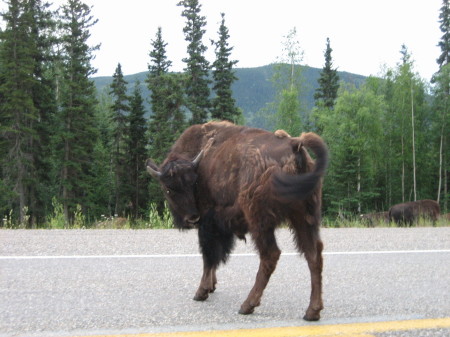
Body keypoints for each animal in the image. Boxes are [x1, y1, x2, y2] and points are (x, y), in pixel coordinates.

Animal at [146, 121, 328, 320]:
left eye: (192, 183)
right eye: (169, 188)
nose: (192, 217)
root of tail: (295, 146)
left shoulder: (208, 224)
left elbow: (208, 256)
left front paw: (201, 292)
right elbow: (215, 257)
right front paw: (212, 286)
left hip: (260, 221)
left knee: (270, 255)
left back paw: (247, 305)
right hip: (305, 217)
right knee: (313, 254)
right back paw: (312, 311)